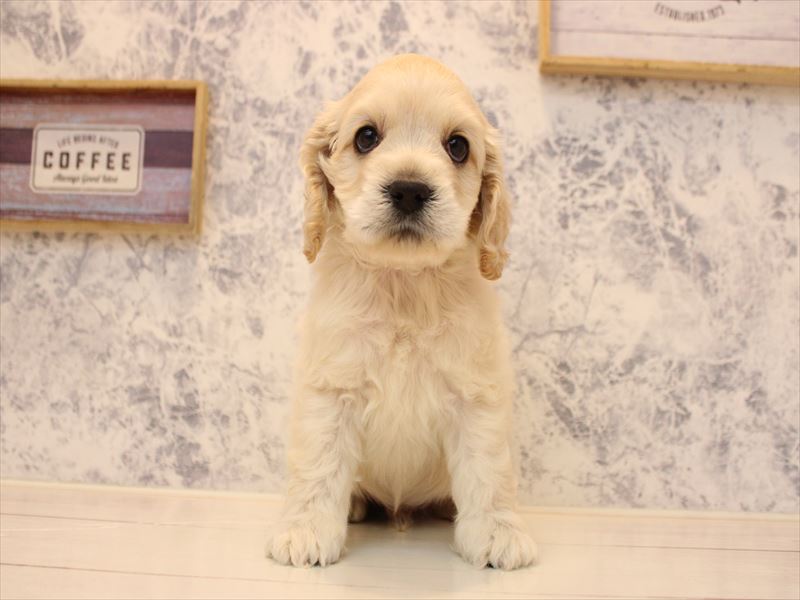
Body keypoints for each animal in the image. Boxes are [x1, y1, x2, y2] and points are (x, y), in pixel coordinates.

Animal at [266, 54, 537, 570]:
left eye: (458, 146)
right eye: (366, 137)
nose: (410, 190)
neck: (405, 284)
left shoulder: (476, 394)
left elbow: (488, 468)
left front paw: (497, 533)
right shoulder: (332, 387)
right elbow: (319, 463)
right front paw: (306, 532)